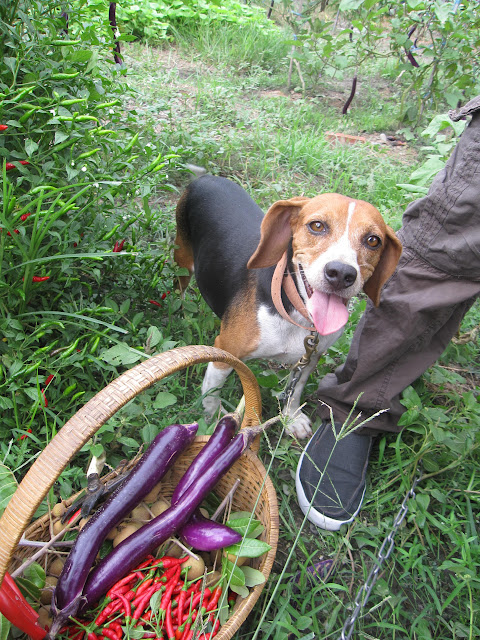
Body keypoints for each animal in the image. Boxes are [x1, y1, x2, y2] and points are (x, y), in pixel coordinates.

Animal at [173, 172, 402, 438]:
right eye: (317, 225)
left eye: (373, 241)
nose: (342, 273)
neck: (297, 315)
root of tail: (206, 176)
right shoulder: (224, 350)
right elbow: (211, 395)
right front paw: (214, 422)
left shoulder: (309, 358)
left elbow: (295, 391)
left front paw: (291, 418)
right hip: (182, 259)